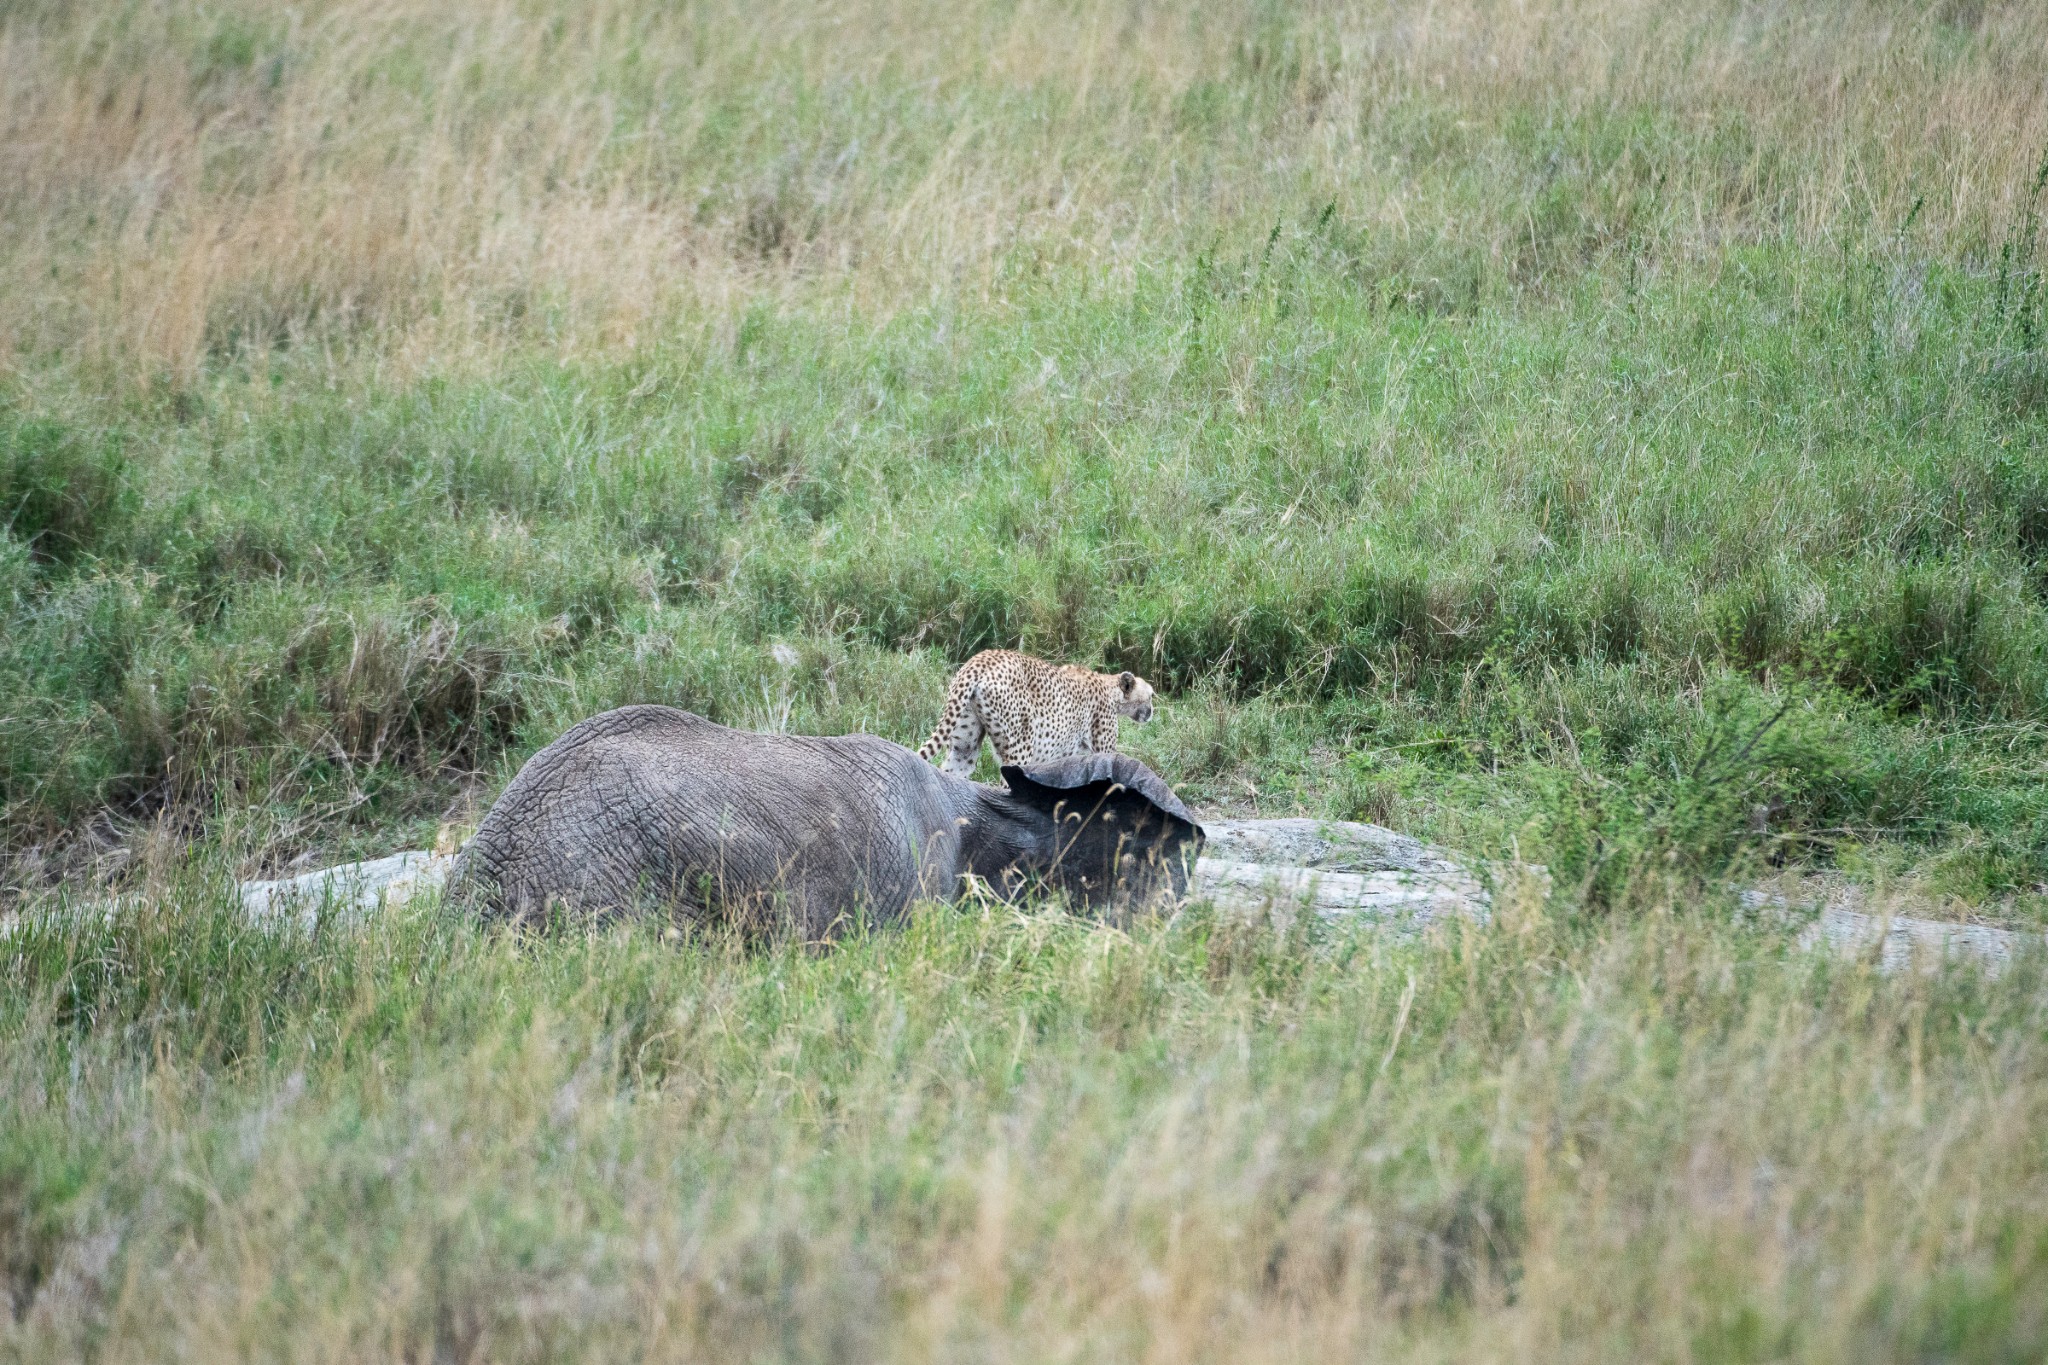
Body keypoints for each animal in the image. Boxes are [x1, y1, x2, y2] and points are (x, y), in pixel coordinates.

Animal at [917, 650, 1155, 777]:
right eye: (1151, 695)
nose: (1151, 713)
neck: (1111, 690)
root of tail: (982, 658)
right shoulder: (1103, 750)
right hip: (1020, 746)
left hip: (964, 745)